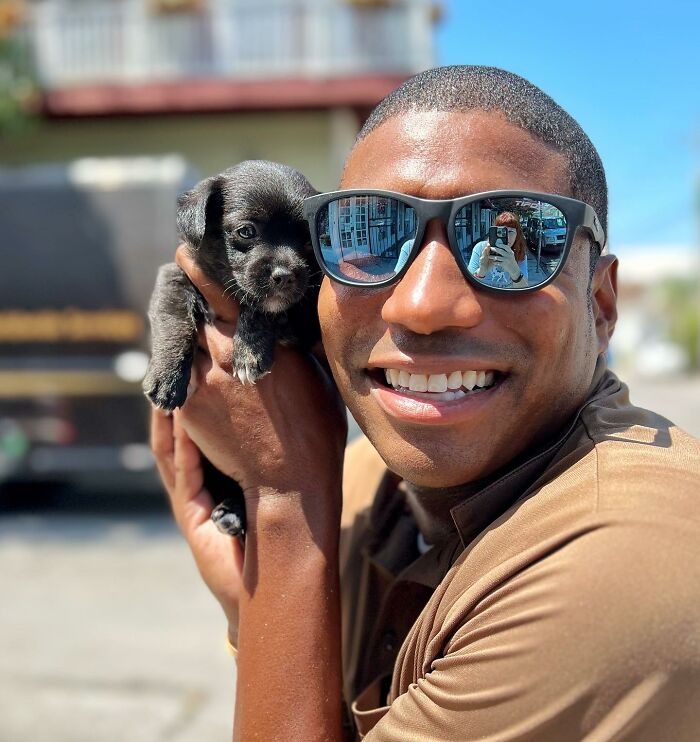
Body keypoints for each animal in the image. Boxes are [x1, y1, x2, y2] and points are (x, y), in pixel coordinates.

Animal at [144, 160, 322, 536]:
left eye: (306, 239)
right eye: (246, 231)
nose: (285, 275)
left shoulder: (304, 315)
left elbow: (260, 306)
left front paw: (249, 350)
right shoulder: (173, 275)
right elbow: (173, 317)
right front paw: (167, 377)